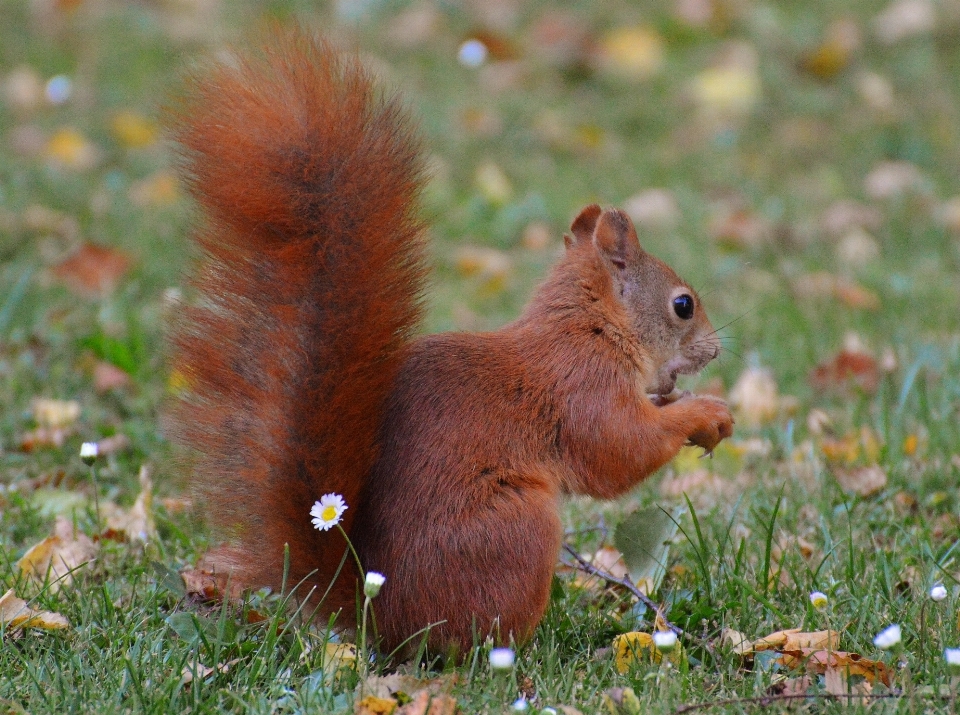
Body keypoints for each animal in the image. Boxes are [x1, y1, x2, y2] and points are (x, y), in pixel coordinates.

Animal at [169, 29, 732, 656]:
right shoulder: (582, 386)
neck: (590, 328)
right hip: (517, 528)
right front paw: (703, 413)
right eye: (682, 305)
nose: (714, 350)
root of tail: (382, 618)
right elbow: (620, 451)